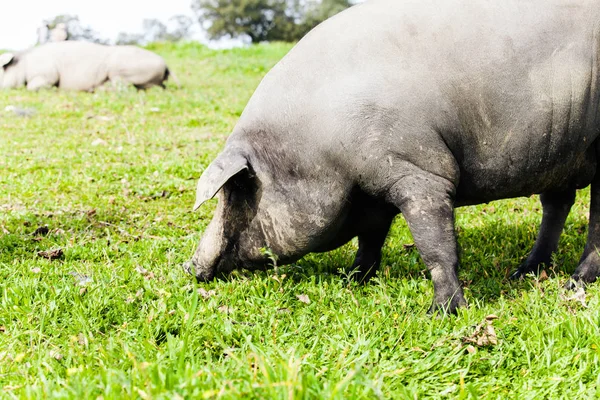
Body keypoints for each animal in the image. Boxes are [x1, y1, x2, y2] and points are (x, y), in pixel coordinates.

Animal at [185, 0, 600, 314]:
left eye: (239, 188)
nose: (189, 266)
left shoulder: (420, 170)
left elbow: (435, 246)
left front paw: (442, 313)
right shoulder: (371, 189)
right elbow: (371, 238)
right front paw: (352, 280)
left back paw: (574, 283)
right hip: (557, 153)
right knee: (557, 203)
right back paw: (524, 273)